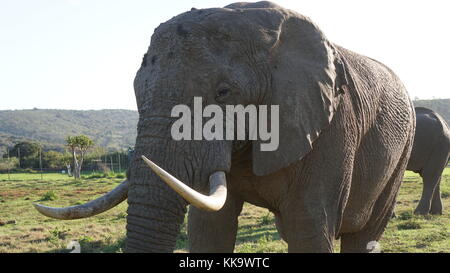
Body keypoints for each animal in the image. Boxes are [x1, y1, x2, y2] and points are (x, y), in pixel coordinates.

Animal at [34, 1, 414, 253]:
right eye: (137, 91)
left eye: (224, 93)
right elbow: (209, 227)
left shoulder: (331, 126)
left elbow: (307, 225)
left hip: (402, 150)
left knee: (363, 233)